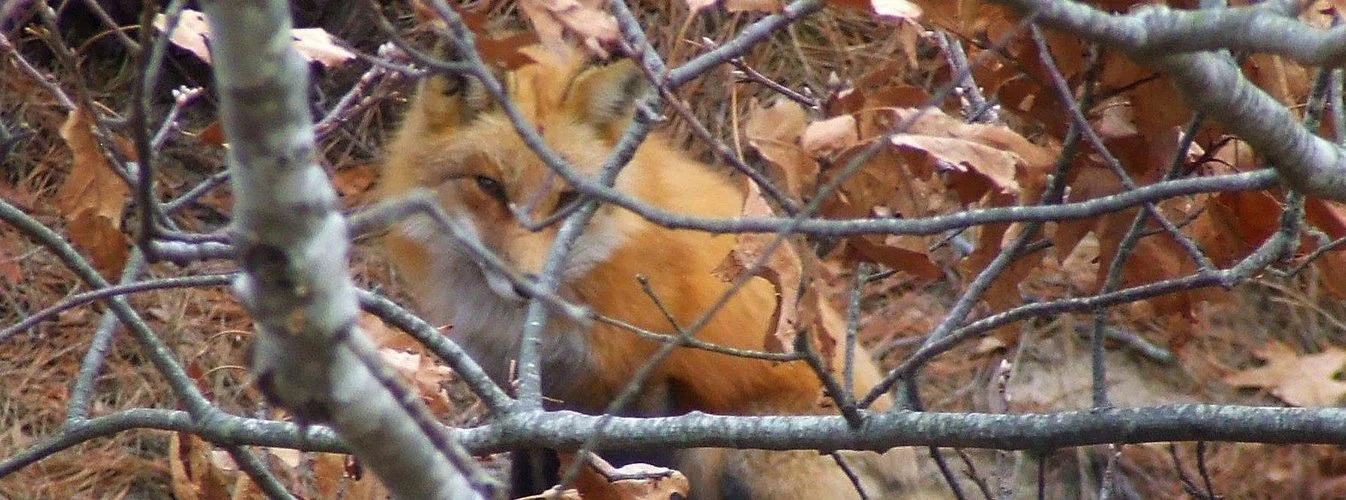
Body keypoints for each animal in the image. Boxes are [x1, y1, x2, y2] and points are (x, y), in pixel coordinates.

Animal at [380, 44, 930, 499]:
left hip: (744, 449)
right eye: (488, 185)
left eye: (569, 197)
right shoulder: (526, 405)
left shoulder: (639, 388)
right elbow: (529, 478)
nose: (527, 285)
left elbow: (634, 473)